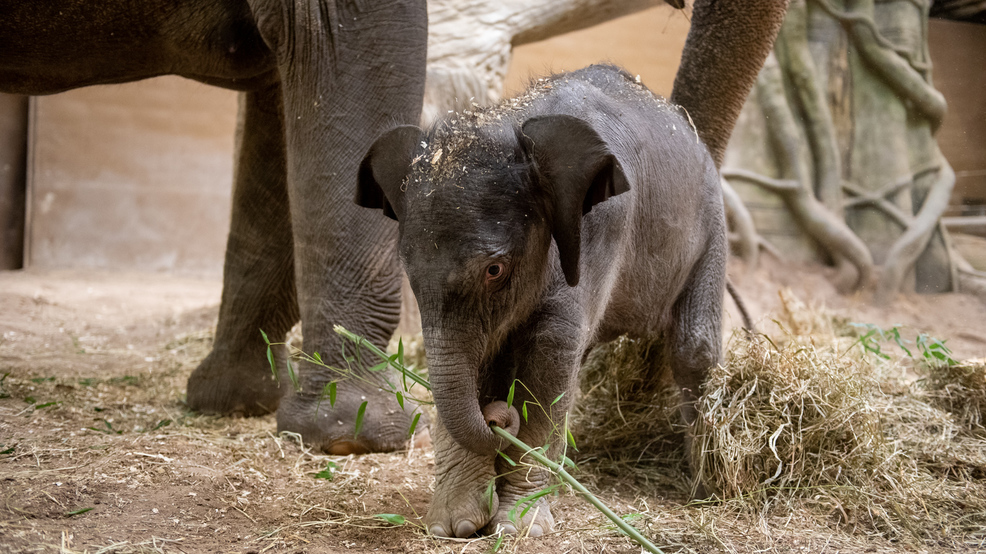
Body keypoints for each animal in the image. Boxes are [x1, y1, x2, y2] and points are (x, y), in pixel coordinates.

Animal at [356, 64, 728, 537]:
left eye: (494, 270)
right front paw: (455, 525)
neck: (508, 124)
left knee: (692, 348)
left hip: (711, 223)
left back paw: (704, 490)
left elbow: (550, 355)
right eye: (407, 269)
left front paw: (519, 526)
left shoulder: (599, 227)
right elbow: (487, 358)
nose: (495, 418)